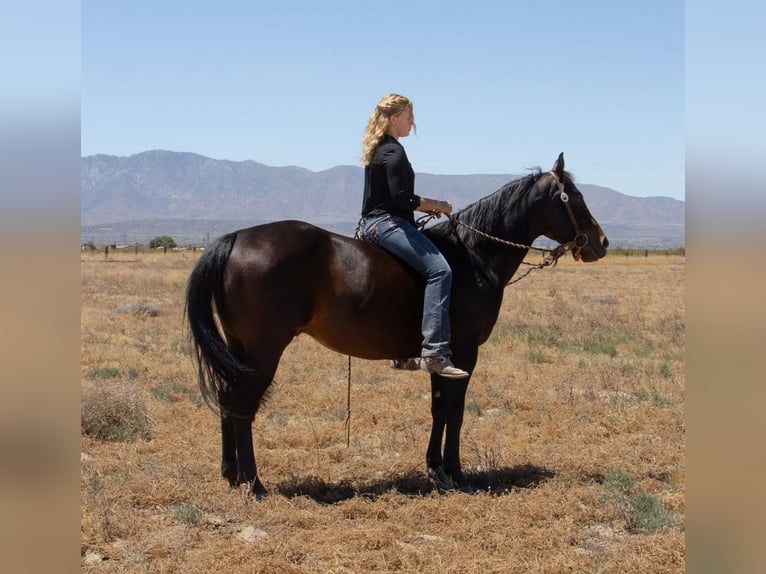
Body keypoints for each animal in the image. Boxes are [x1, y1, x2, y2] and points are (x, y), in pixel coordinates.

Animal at [185, 153, 608, 498]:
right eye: (574, 196)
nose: (600, 242)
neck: (473, 255)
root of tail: (236, 238)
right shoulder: (465, 352)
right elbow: (456, 411)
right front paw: (458, 474)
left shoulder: (441, 355)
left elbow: (438, 409)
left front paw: (436, 469)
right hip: (263, 349)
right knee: (242, 404)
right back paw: (254, 483)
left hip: (238, 347)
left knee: (227, 398)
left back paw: (231, 475)